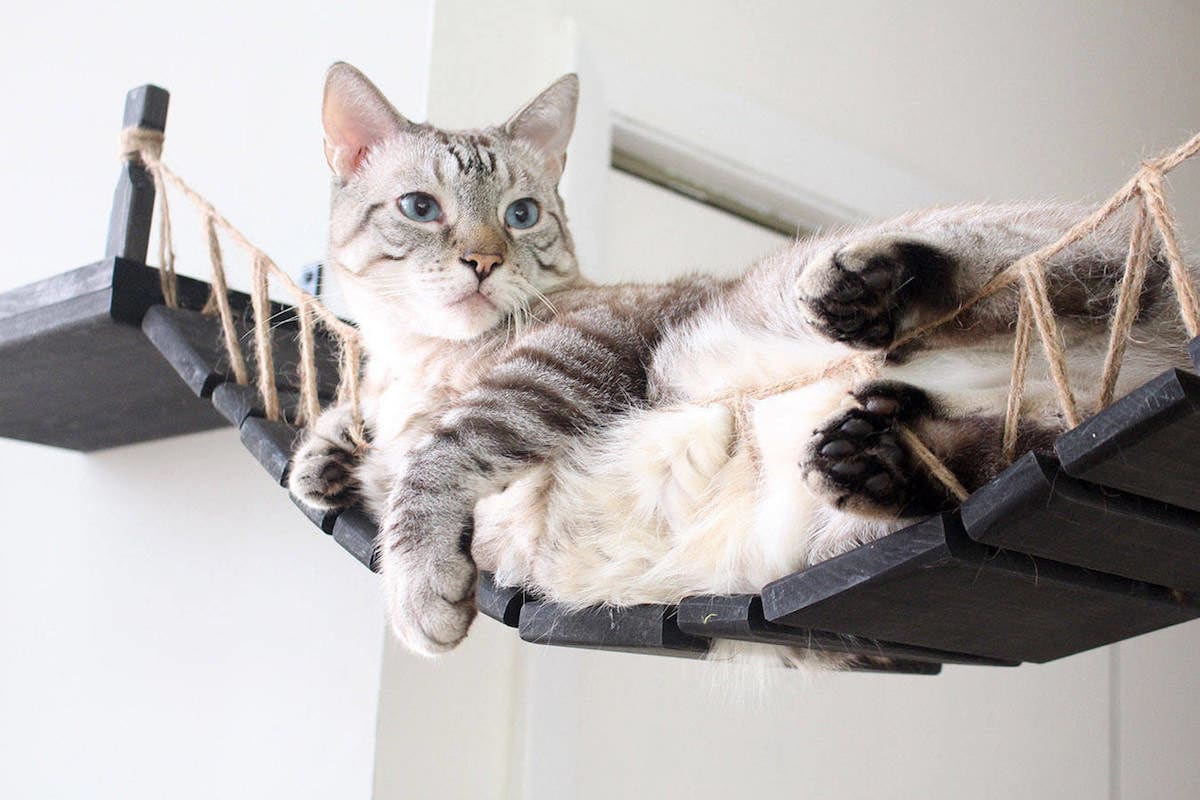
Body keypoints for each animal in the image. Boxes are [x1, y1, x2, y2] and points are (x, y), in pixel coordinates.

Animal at [288, 62, 1190, 662]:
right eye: (420, 208)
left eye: (522, 214)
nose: (482, 262)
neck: (423, 362)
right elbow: (360, 436)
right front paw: (323, 464)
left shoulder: (578, 353)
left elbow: (441, 452)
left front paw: (418, 593)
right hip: (883, 504)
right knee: (985, 454)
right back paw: (875, 453)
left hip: (1006, 265)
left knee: (1030, 270)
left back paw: (878, 289)